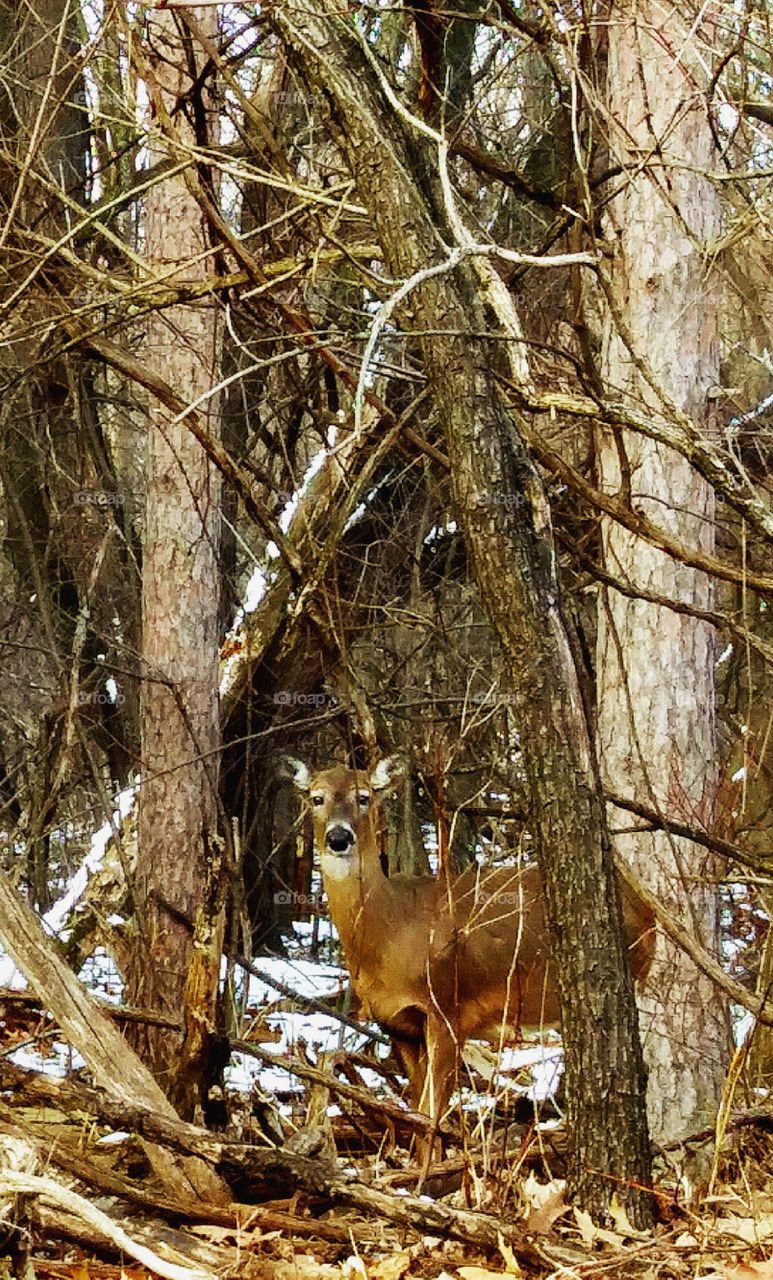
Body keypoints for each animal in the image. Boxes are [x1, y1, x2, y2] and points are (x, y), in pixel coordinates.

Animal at [278, 755, 654, 1155]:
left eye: (363, 797)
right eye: (316, 798)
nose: (339, 838)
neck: (390, 936)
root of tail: (644, 904)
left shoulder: (447, 1009)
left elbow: (430, 1116)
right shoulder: (398, 1025)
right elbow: (415, 1112)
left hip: (637, 973)